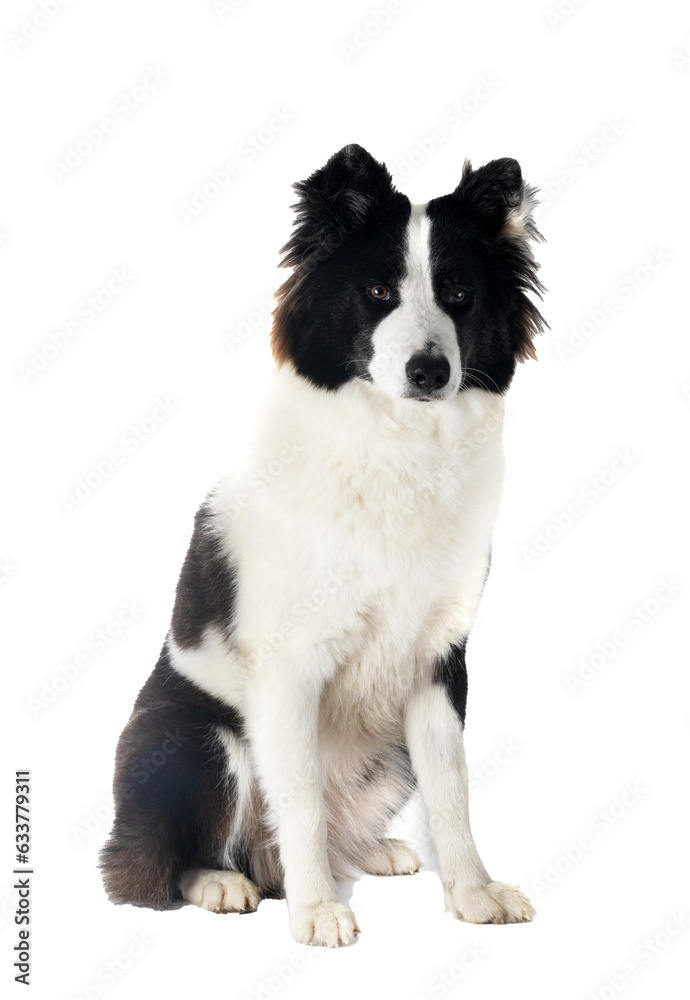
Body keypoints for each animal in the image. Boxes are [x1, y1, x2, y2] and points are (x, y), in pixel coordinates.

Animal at [99, 141, 544, 944]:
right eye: (377, 291)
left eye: (459, 294)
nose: (430, 370)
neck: (398, 447)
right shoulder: (290, 665)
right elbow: (299, 797)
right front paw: (314, 912)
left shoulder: (439, 662)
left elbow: (453, 791)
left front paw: (473, 894)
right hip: (201, 737)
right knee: (167, 861)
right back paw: (225, 882)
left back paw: (371, 853)